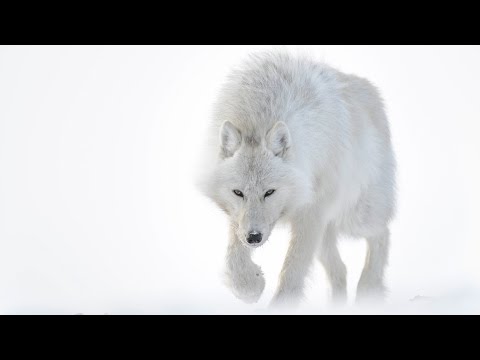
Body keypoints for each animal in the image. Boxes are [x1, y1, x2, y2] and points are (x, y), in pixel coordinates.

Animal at [199, 50, 398, 306]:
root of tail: (370, 89)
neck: (259, 115)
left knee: (382, 233)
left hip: (355, 216)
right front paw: (250, 286)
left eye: (270, 192)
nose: (254, 238)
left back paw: (368, 289)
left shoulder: (311, 212)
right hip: (326, 233)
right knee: (341, 270)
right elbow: (234, 256)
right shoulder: (240, 218)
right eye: (238, 192)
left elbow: (293, 270)